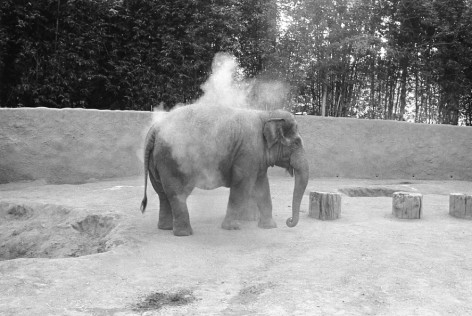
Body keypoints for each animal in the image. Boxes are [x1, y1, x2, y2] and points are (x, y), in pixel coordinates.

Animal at [140, 103, 310, 237]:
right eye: (296, 143)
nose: (289, 221)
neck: (266, 114)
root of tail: (155, 128)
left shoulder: (257, 158)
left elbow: (262, 186)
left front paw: (269, 227)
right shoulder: (247, 153)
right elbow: (242, 185)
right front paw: (232, 228)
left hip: (157, 162)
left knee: (163, 193)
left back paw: (165, 228)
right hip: (173, 160)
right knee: (177, 193)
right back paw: (184, 233)